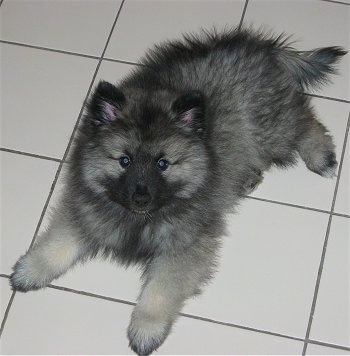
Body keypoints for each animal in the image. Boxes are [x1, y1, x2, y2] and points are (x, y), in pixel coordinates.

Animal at [9, 28, 346, 356]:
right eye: (124, 160)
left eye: (163, 163)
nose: (140, 196)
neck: (141, 217)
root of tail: (257, 46)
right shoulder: (87, 210)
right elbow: (58, 242)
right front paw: (30, 269)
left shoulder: (184, 246)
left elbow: (160, 290)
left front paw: (146, 329)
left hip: (269, 131)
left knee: (305, 121)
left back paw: (322, 157)